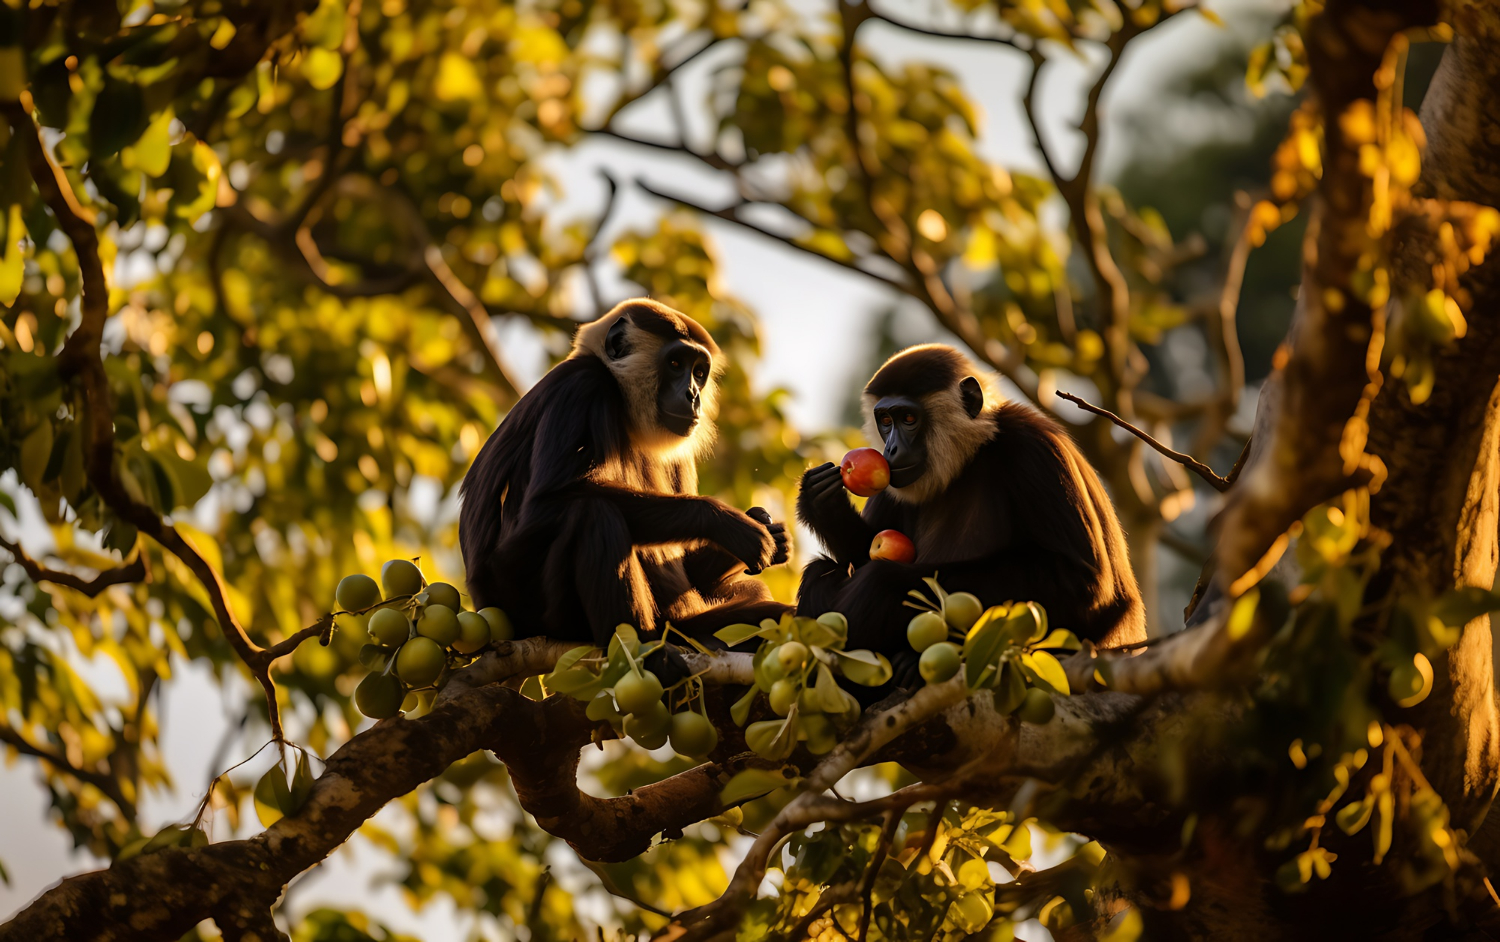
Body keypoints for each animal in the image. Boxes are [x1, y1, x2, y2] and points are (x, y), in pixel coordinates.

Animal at [456, 298, 792, 651]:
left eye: (699, 373)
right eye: (675, 364)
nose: (693, 395)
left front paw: (768, 529)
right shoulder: (584, 384)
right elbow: (546, 501)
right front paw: (728, 523)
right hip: (537, 610)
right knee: (592, 513)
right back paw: (641, 644)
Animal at [804, 342, 1140, 696]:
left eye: (908, 418)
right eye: (885, 420)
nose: (891, 448)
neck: (972, 455)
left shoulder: (1032, 446)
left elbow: (1082, 583)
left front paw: (890, 583)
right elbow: (859, 555)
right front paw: (822, 501)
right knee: (823, 571)